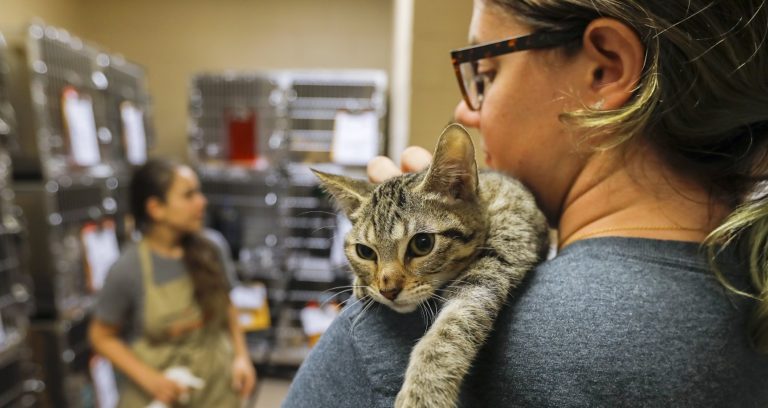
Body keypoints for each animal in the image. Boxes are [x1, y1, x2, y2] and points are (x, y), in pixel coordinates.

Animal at [308, 124, 548, 408]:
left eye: (422, 243)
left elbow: (452, 327)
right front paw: (360, 282)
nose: (388, 290)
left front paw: (424, 389)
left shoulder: (500, 256)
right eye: (364, 252)